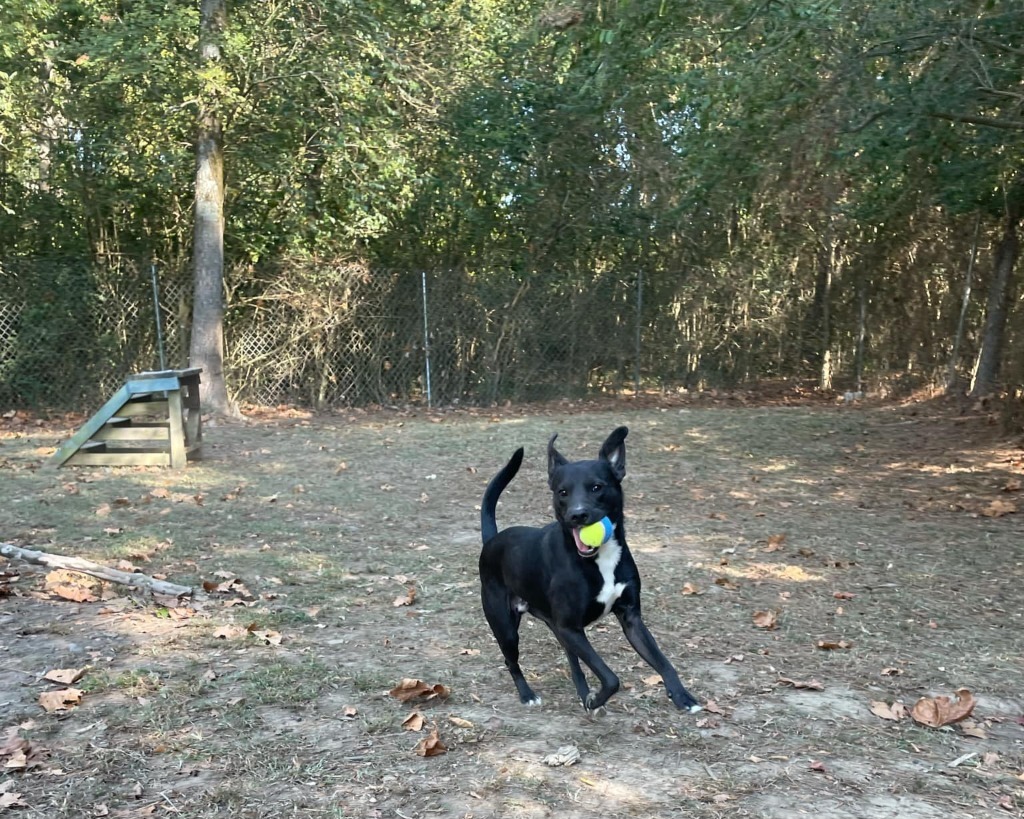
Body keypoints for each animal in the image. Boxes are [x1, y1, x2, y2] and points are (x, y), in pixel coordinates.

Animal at [479, 425, 704, 712]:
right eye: (562, 492)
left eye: (597, 487)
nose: (577, 515)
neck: (598, 560)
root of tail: (492, 541)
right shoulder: (570, 628)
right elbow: (610, 677)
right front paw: (597, 699)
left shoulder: (628, 619)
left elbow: (662, 661)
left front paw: (682, 696)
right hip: (506, 628)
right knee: (511, 660)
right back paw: (527, 694)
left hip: (555, 627)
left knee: (573, 662)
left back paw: (581, 691)